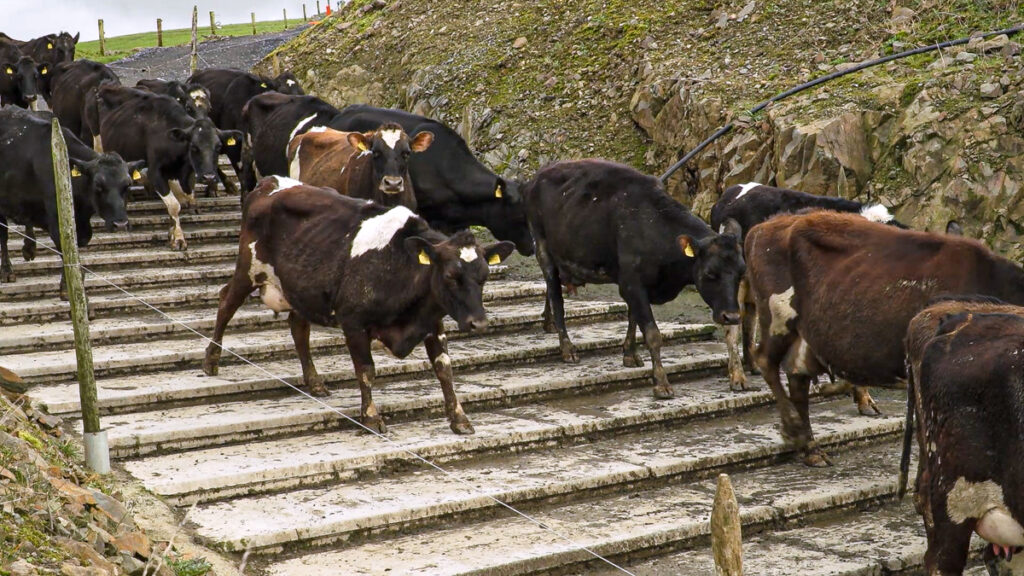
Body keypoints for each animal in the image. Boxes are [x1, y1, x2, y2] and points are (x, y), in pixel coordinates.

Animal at [0, 107, 138, 297]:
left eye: (127, 185)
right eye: (98, 185)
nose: (121, 224)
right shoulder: (57, 220)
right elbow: (66, 251)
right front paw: (67, 288)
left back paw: (29, 248)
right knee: (3, 235)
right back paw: (7, 271)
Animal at [95, 85, 243, 250]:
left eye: (218, 147)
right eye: (194, 147)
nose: (209, 177)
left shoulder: (186, 172)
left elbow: (186, 198)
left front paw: (172, 232)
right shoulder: (155, 172)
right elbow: (174, 205)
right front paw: (178, 238)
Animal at [202, 177, 514, 434]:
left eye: (484, 276)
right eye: (450, 276)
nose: (478, 322)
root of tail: (269, 182)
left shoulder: (432, 320)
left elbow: (444, 369)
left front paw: (459, 419)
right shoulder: (353, 321)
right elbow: (366, 369)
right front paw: (371, 417)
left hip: (298, 287)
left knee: (298, 328)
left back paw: (315, 382)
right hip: (248, 269)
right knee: (226, 302)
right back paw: (211, 360)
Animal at [524, 159, 746, 399]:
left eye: (741, 272)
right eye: (710, 273)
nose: (732, 316)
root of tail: (538, 175)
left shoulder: (632, 283)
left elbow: (633, 318)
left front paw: (629, 354)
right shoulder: (632, 283)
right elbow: (652, 333)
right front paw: (661, 384)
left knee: (550, 290)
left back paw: (548, 324)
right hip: (543, 249)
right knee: (556, 296)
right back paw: (567, 348)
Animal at [744, 211, 1024, 466]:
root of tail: (763, 226)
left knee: (797, 377)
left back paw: (811, 449)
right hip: (778, 318)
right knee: (765, 360)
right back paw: (794, 431)